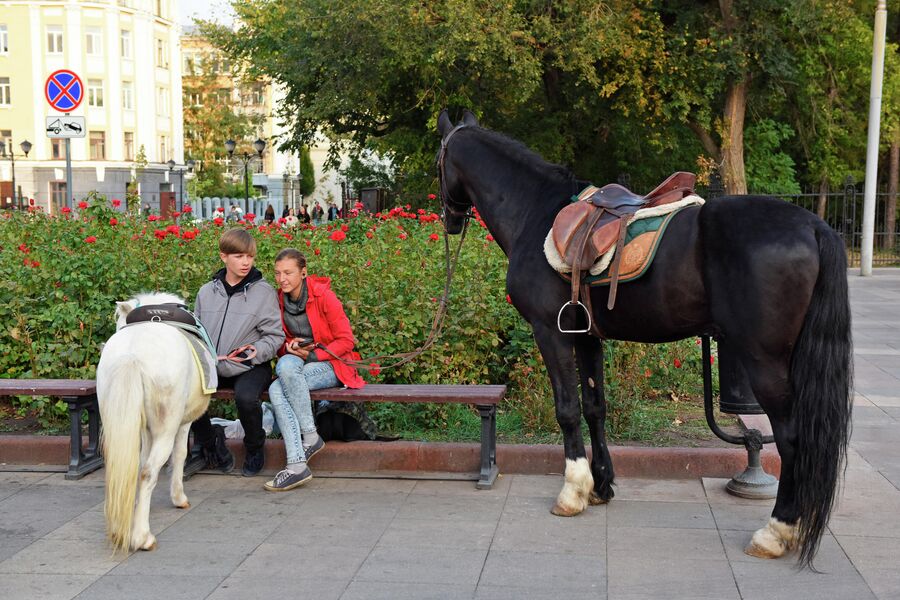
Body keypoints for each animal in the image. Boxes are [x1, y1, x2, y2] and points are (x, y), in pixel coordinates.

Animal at [97, 292, 212, 552]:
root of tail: (132, 355)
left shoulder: (143, 429)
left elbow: (138, 460)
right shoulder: (182, 423)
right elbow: (180, 454)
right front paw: (179, 498)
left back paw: (120, 528)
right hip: (166, 426)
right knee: (148, 472)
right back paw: (142, 537)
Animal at [440, 110, 856, 564]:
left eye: (438, 162)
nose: (450, 218)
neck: (535, 211)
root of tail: (813, 225)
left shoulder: (549, 331)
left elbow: (566, 409)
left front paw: (572, 491)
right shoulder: (586, 336)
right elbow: (595, 407)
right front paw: (601, 486)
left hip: (764, 360)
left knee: (792, 437)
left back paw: (776, 531)